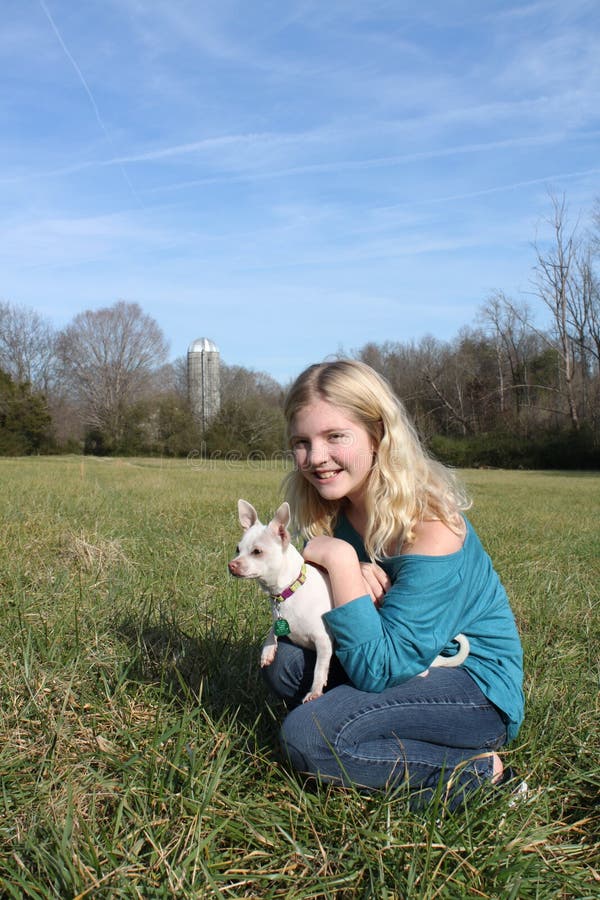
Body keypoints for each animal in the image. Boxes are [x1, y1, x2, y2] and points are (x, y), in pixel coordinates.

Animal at [229, 500, 468, 704]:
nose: (231, 565)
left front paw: (315, 691)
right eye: (238, 549)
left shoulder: (324, 642)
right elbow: (272, 630)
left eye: (257, 552)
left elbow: (319, 670)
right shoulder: (282, 620)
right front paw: (268, 651)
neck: (289, 591)